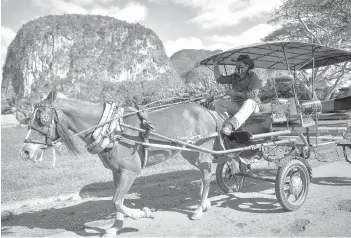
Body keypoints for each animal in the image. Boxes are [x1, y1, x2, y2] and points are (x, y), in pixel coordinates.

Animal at [20, 89, 223, 238]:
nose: (25, 151)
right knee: (205, 173)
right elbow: (116, 201)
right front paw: (115, 226)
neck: (112, 129)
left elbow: (117, 201)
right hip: (190, 152)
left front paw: (142, 213)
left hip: (202, 151)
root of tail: (206, 110)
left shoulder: (130, 171)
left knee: (206, 176)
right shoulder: (116, 172)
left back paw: (199, 208)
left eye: (41, 119)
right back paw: (204, 202)